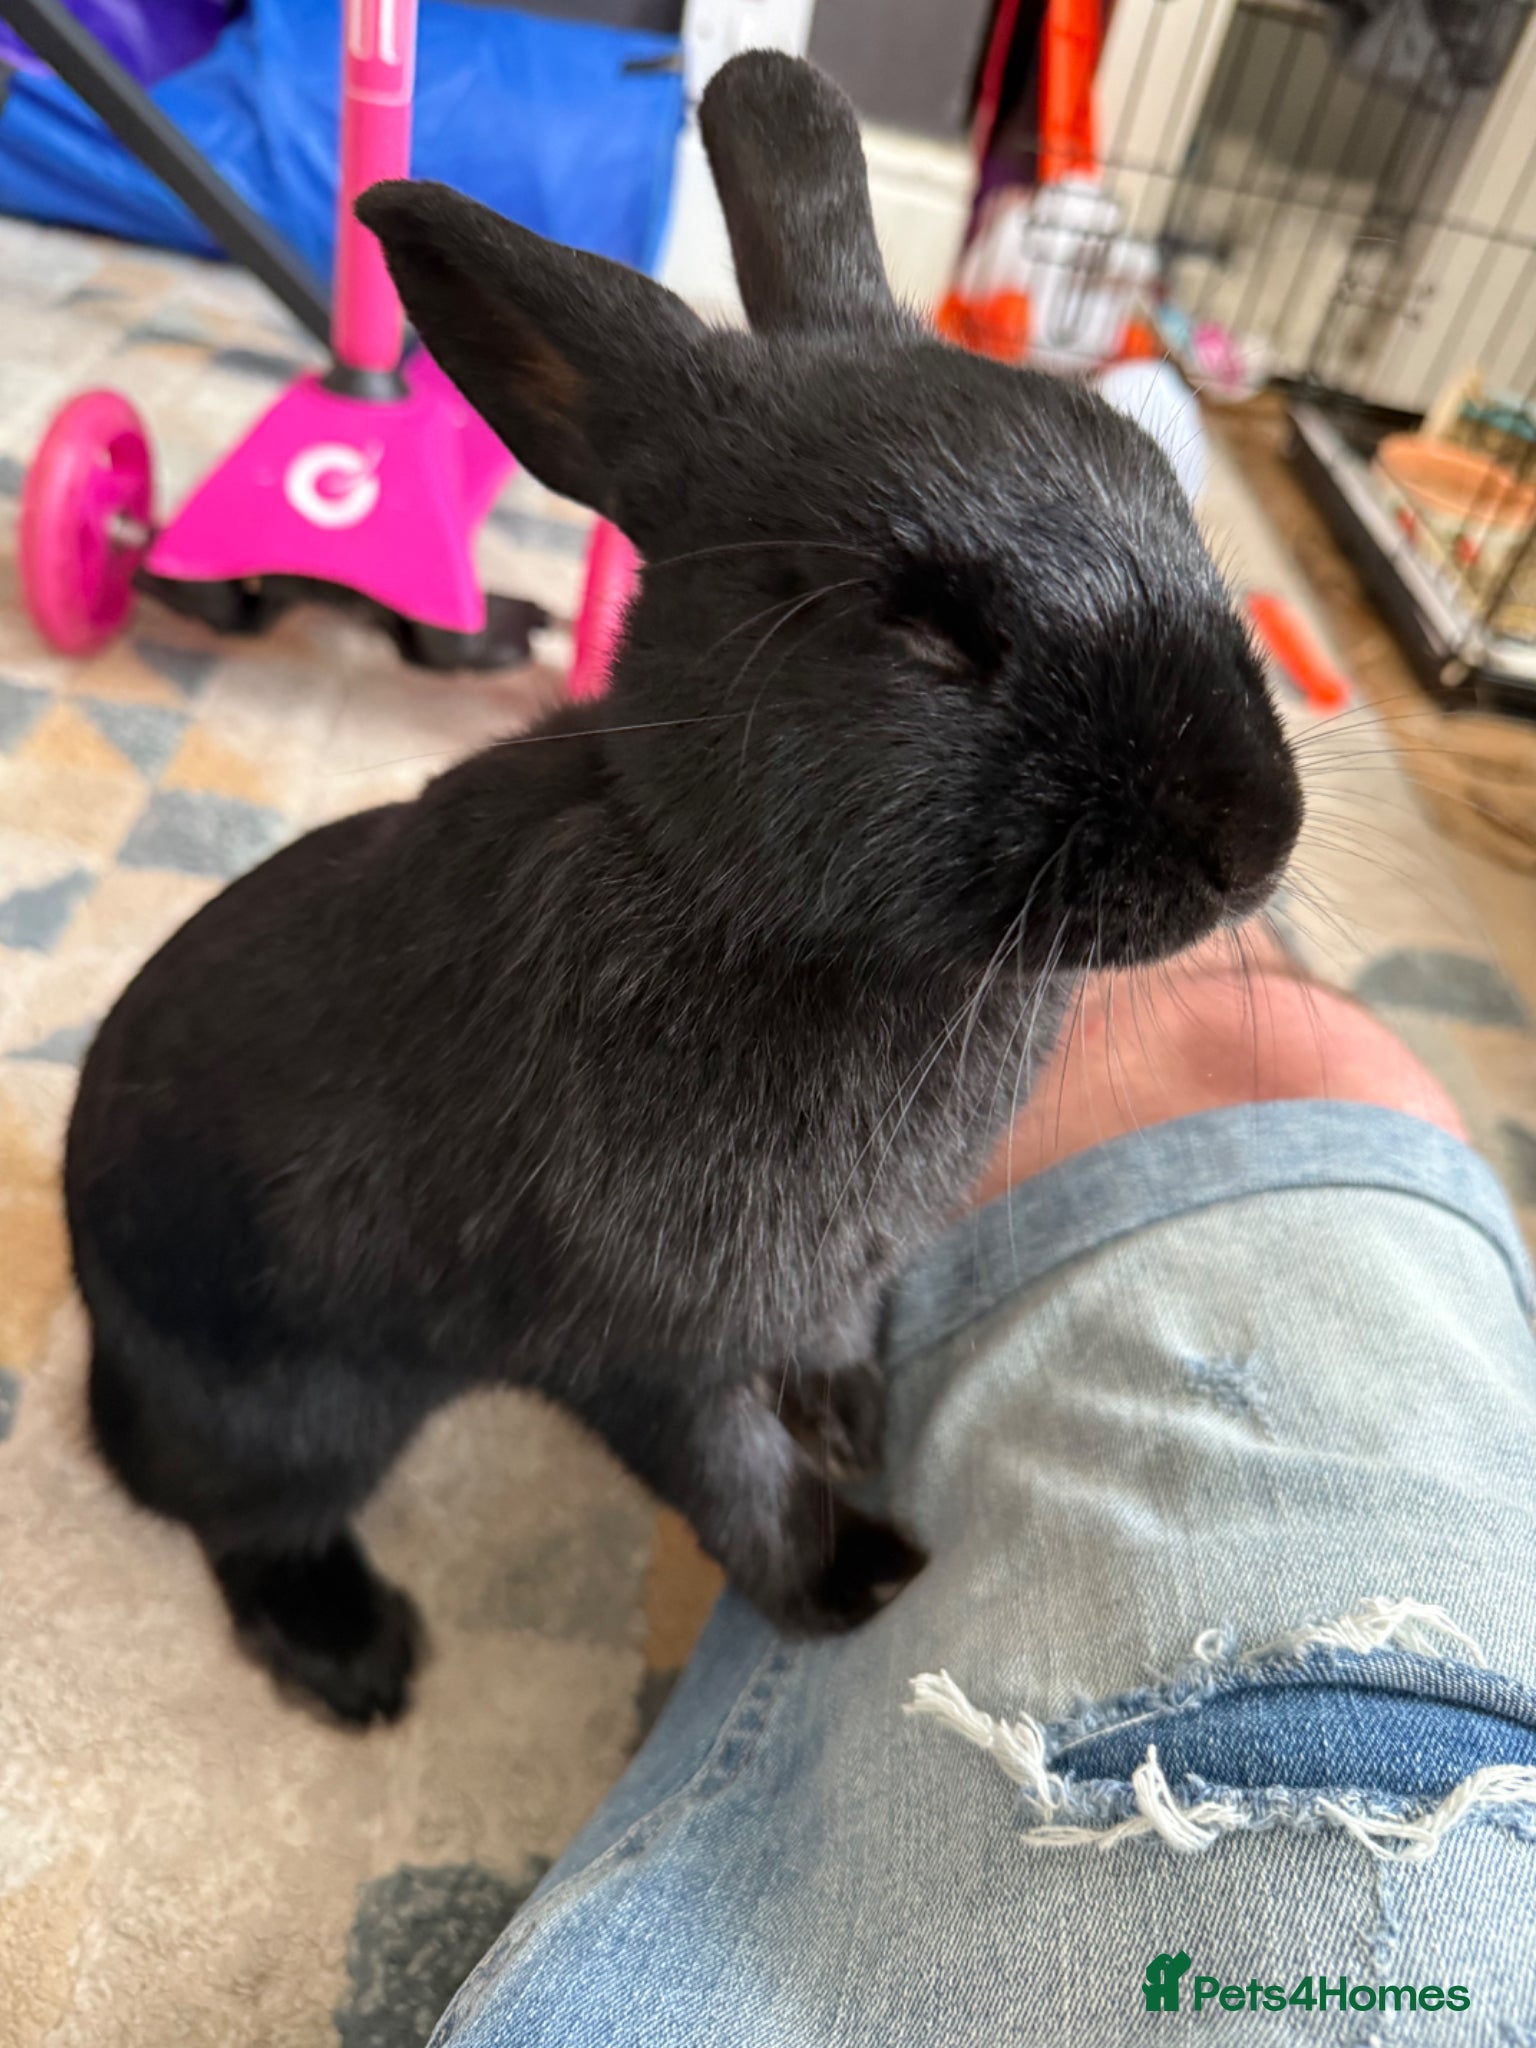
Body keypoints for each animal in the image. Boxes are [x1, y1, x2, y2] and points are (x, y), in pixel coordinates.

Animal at [65, 50, 1302, 1726]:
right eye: (930, 627)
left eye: (1169, 494)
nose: (1254, 835)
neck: (750, 902)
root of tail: (100, 1348)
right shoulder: (646, 1343)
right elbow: (734, 1481)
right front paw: (859, 1581)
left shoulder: (824, 1277)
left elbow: (826, 1355)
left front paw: (856, 1418)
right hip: (306, 1408)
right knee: (243, 1525)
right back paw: (360, 1659)